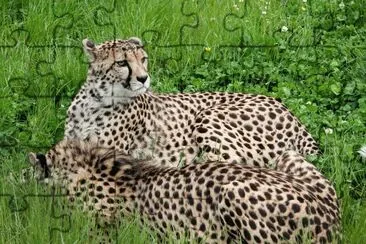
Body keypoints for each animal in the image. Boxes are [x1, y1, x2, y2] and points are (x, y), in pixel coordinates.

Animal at [64, 37, 318, 168]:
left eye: (143, 59)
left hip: (209, 116)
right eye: (121, 63)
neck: (95, 103)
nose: (144, 78)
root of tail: (286, 109)